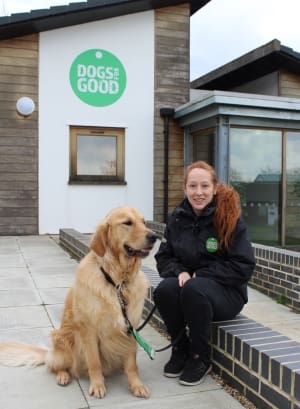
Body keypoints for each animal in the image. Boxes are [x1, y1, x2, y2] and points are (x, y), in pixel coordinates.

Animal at [0, 206, 158, 396]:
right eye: (127, 223)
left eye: (144, 222)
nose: (154, 236)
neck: (117, 281)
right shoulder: (88, 329)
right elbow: (94, 363)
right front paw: (97, 385)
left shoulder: (130, 327)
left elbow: (131, 364)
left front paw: (136, 385)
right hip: (62, 343)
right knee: (56, 367)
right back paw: (63, 376)